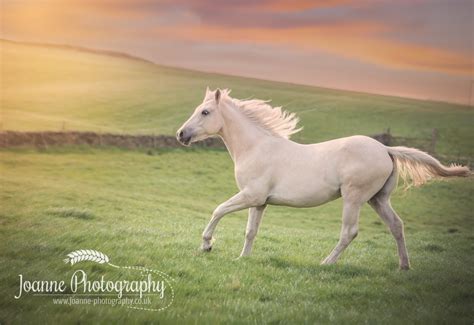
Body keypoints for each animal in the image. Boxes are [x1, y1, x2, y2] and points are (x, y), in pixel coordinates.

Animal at [176, 88, 468, 268]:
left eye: (205, 112)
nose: (181, 134)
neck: (256, 146)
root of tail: (386, 149)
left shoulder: (250, 195)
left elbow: (218, 210)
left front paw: (206, 245)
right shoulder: (259, 202)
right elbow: (250, 231)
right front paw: (243, 259)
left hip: (354, 198)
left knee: (349, 232)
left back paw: (326, 263)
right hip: (378, 199)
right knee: (397, 226)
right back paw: (404, 267)